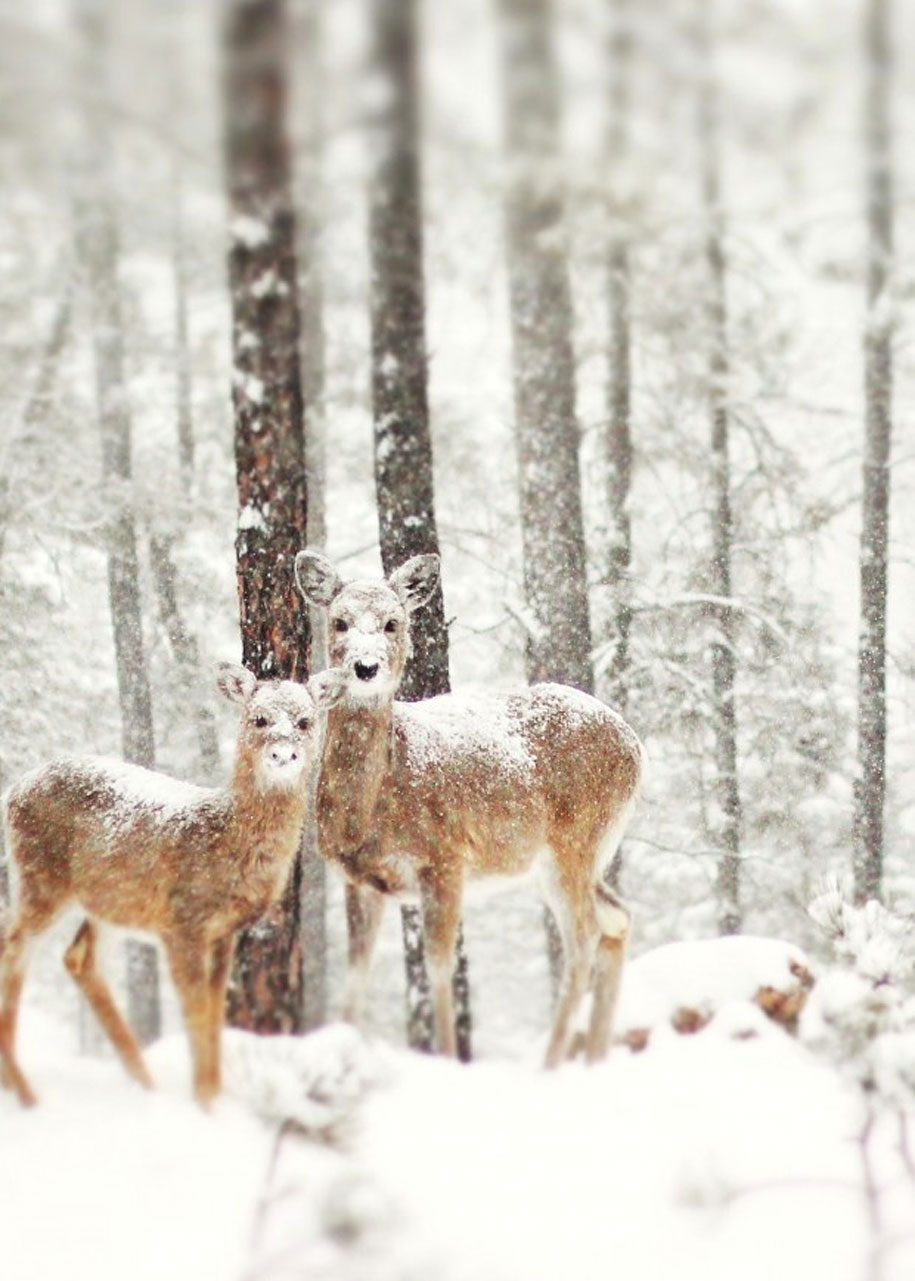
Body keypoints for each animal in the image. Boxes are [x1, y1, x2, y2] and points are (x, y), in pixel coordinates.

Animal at [0, 660, 343, 1111]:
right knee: (13, 947)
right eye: (259, 718)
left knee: (79, 959)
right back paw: (24, 1091)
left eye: (305, 721)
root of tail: (12, 791)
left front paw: (214, 1095)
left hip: (111, 901)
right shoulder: (183, 922)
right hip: (41, 877)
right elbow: (195, 1011)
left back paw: (143, 1081)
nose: (283, 754)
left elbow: (215, 1012)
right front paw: (204, 1104)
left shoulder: (224, 932)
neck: (224, 839)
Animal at [296, 545, 645, 1065]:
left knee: (583, 937)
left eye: (393, 622)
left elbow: (440, 968)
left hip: (577, 838)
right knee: (616, 918)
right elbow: (356, 979)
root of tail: (636, 746)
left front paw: (446, 1057)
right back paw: (594, 1058)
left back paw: (551, 1062)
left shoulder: (445, 859)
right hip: (561, 861)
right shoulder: (360, 879)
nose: (365, 667)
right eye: (339, 621)